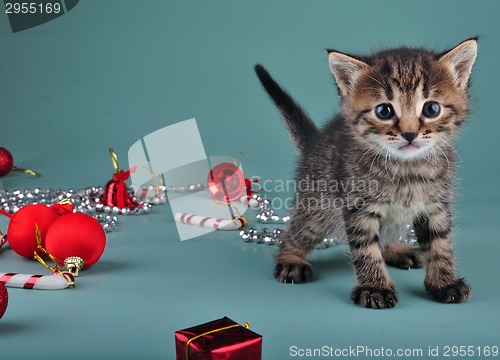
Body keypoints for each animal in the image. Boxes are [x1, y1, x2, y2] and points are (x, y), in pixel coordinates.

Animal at [256, 38, 478, 310]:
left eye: (431, 108)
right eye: (384, 111)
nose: (410, 133)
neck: (406, 168)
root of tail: (314, 144)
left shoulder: (435, 205)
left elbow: (441, 243)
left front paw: (444, 282)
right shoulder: (358, 207)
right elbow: (366, 250)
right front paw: (375, 288)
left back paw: (395, 249)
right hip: (317, 206)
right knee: (295, 233)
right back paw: (291, 259)